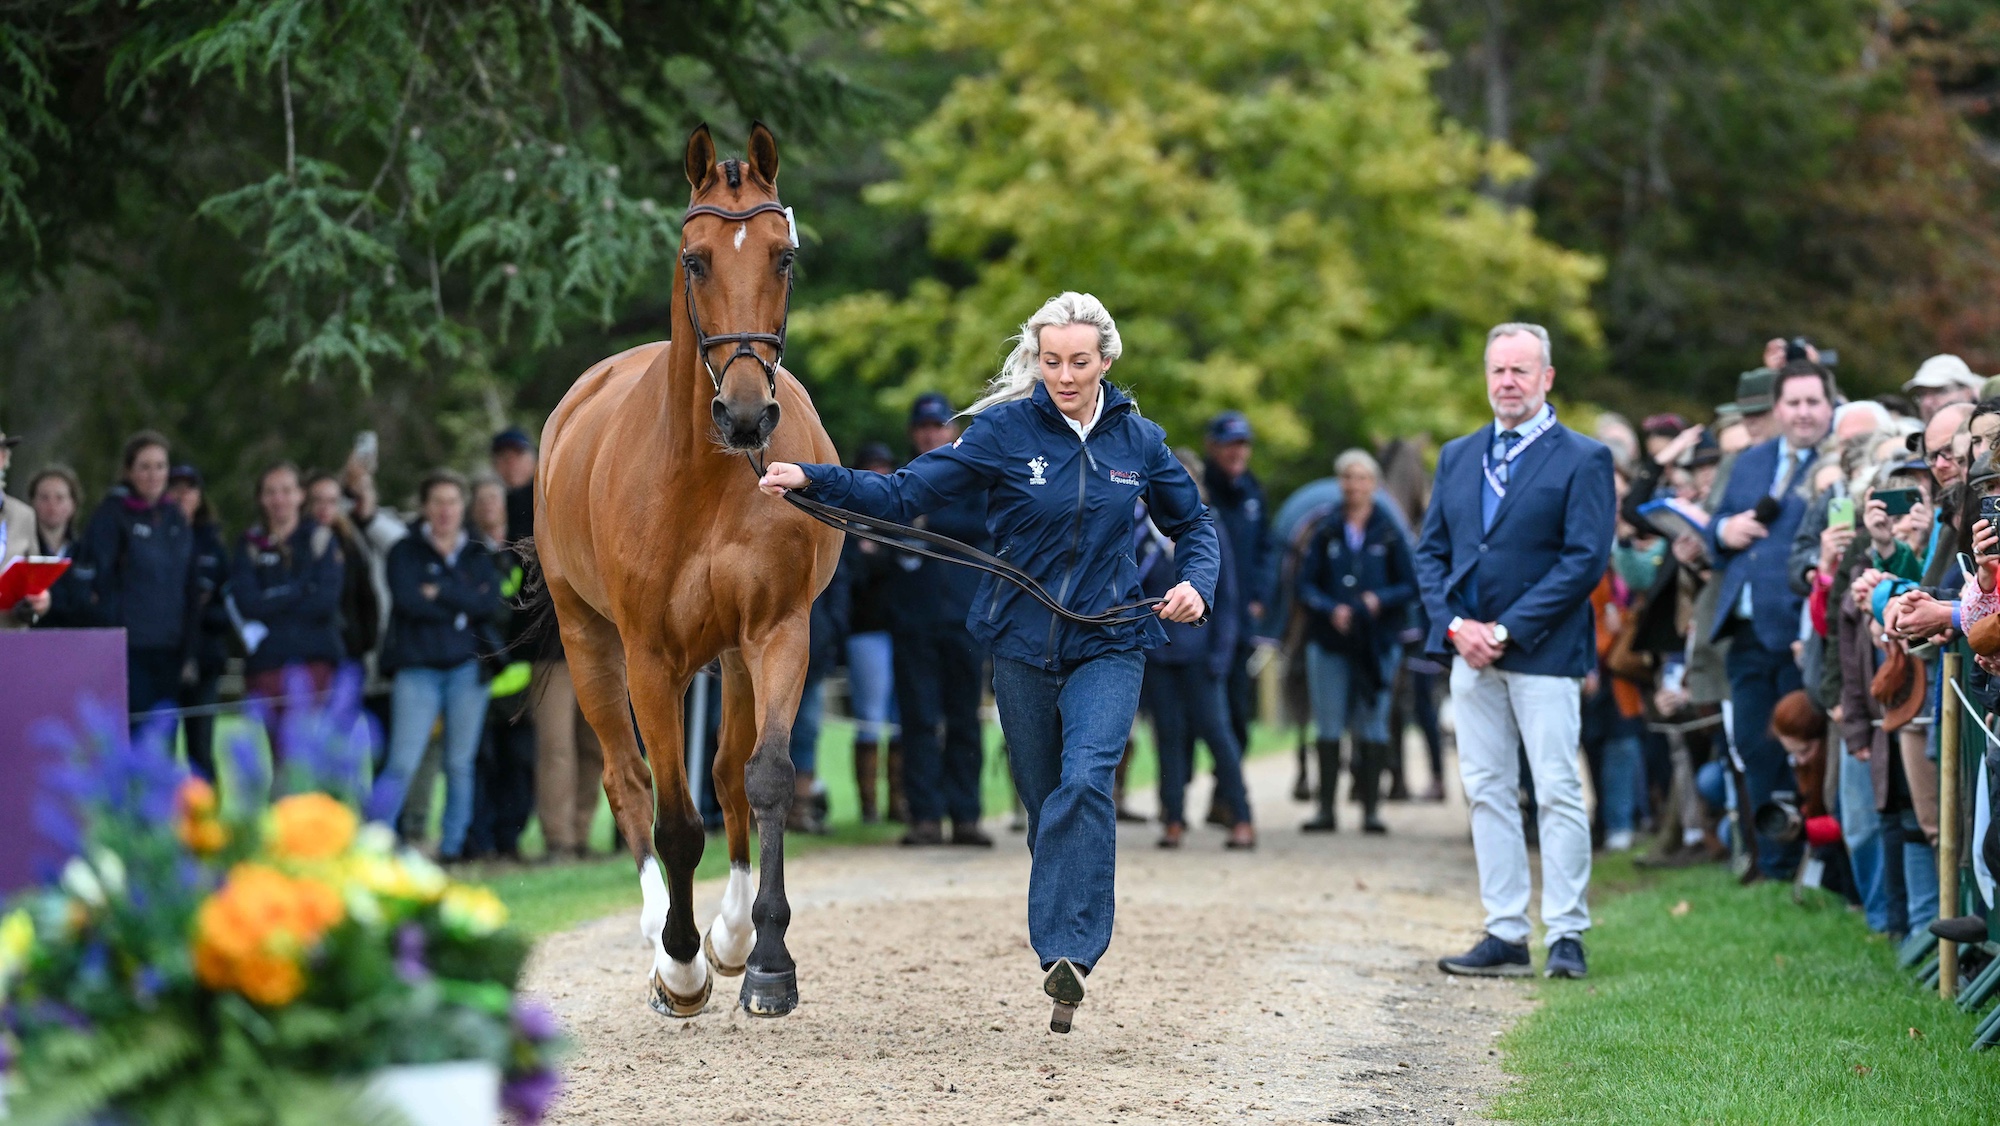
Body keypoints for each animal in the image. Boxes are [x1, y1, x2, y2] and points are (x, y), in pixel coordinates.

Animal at [530, 122, 841, 1018]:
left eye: (783, 257)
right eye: (695, 259)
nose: (745, 416)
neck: (704, 479)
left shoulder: (776, 632)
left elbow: (763, 778)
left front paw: (763, 956)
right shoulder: (649, 657)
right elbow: (671, 815)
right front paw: (679, 962)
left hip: (732, 657)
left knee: (729, 775)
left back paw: (729, 935)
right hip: (588, 642)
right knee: (627, 780)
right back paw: (661, 934)